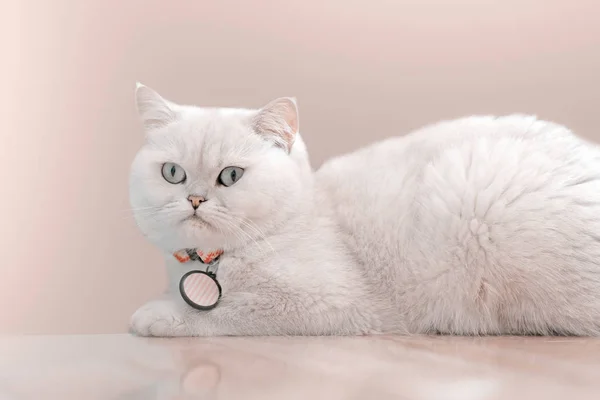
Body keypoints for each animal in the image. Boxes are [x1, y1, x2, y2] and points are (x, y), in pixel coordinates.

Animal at [131, 83, 600, 336]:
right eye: (173, 173)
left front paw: (155, 316)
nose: (195, 199)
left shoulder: (325, 302)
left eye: (230, 176)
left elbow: (231, 311)